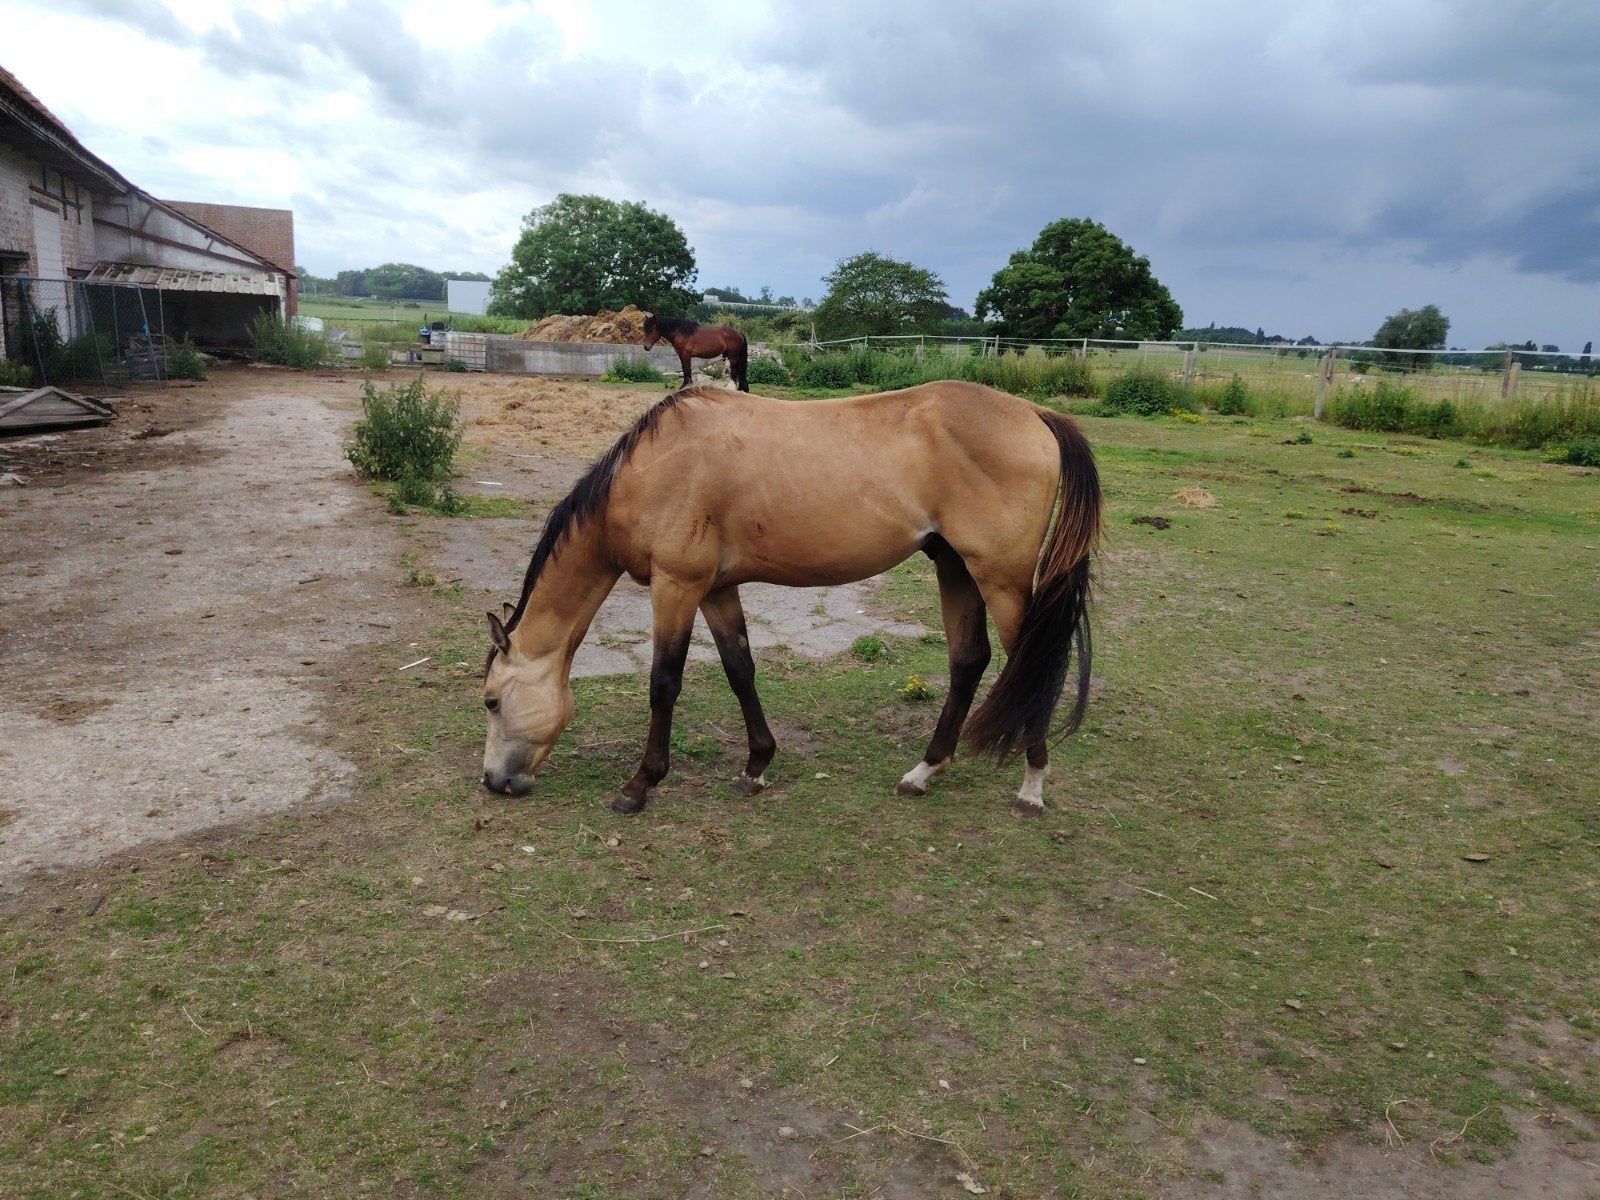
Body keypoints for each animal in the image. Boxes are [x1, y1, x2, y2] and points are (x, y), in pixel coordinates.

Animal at [481, 380, 1101, 816]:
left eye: (490, 701)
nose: (493, 782)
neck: (652, 470)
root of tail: (1037, 415)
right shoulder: (716, 589)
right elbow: (740, 669)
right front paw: (756, 767)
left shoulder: (676, 584)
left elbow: (664, 683)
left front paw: (639, 785)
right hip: (955, 566)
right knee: (969, 661)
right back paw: (924, 772)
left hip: (1000, 577)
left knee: (1033, 664)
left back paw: (1032, 787)